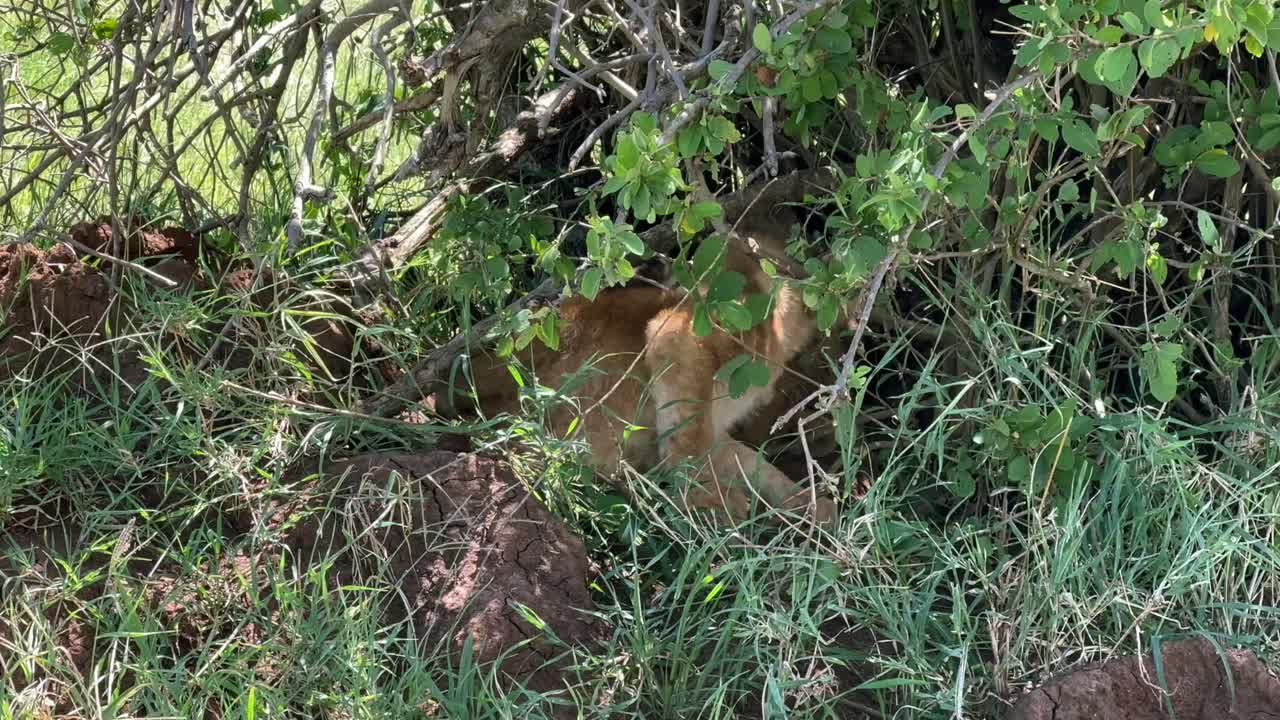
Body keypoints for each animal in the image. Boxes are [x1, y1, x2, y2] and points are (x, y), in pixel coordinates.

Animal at [426, 205, 837, 525]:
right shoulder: (674, 337)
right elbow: (689, 456)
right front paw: (719, 515)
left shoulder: (717, 428)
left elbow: (758, 469)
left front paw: (822, 514)